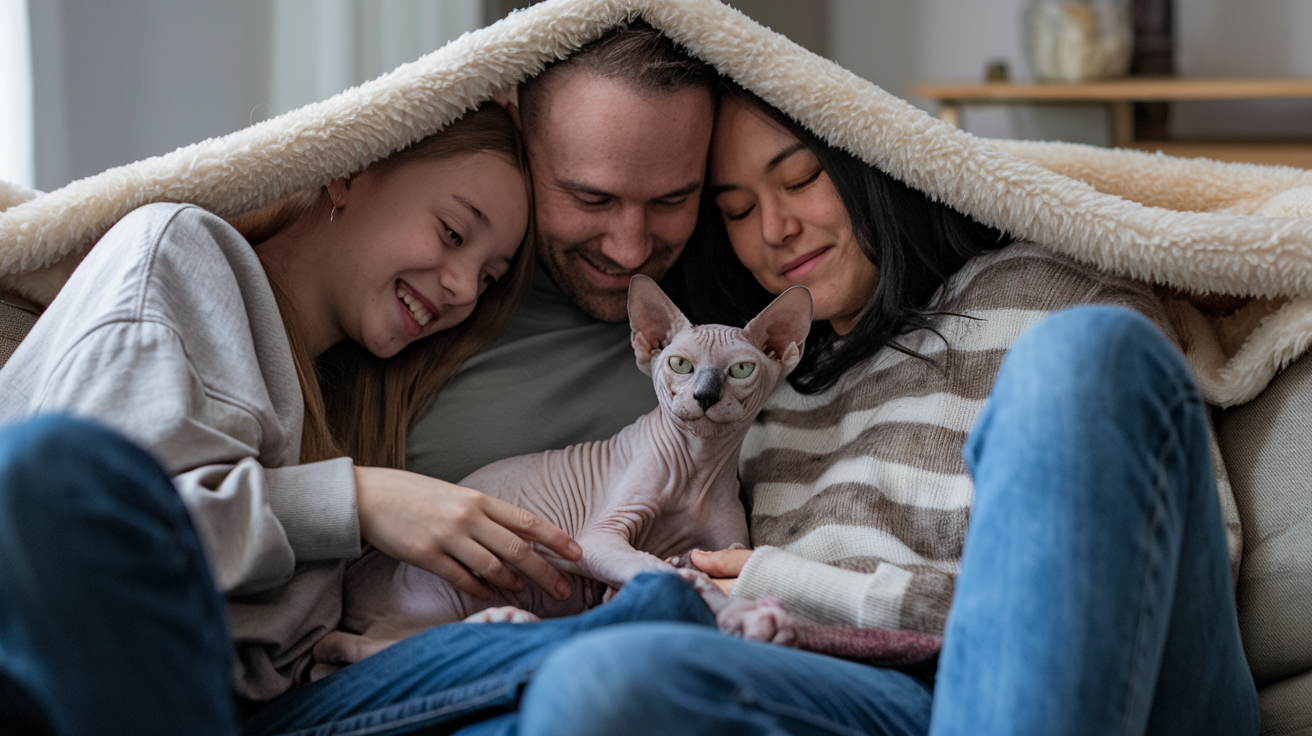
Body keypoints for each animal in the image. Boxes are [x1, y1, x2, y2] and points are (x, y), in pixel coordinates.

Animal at [313, 275, 813, 671]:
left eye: (741, 370)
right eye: (680, 364)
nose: (706, 396)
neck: (699, 467)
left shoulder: (728, 544)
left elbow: (700, 564)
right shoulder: (597, 538)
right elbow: (662, 570)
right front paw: (745, 615)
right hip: (434, 587)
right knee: (365, 647)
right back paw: (501, 618)